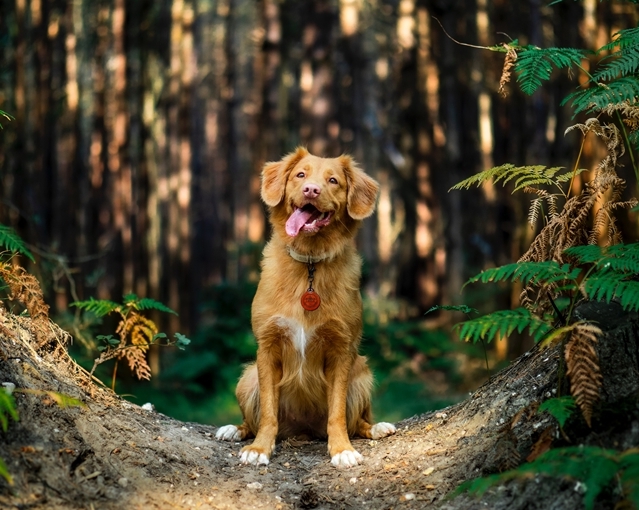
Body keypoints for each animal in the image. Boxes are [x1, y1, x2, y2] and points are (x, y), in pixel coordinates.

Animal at [215, 146, 396, 466]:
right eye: (300, 175)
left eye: (333, 180)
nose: (311, 189)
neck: (310, 262)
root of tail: (304, 431)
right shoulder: (268, 347)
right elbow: (268, 413)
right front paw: (260, 448)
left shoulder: (341, 350)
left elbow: (337, 413)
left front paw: (342, 449)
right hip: (247, 378)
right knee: (252, 420)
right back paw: (235, 430)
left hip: (362, 373)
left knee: (358, 421)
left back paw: (376, 427)